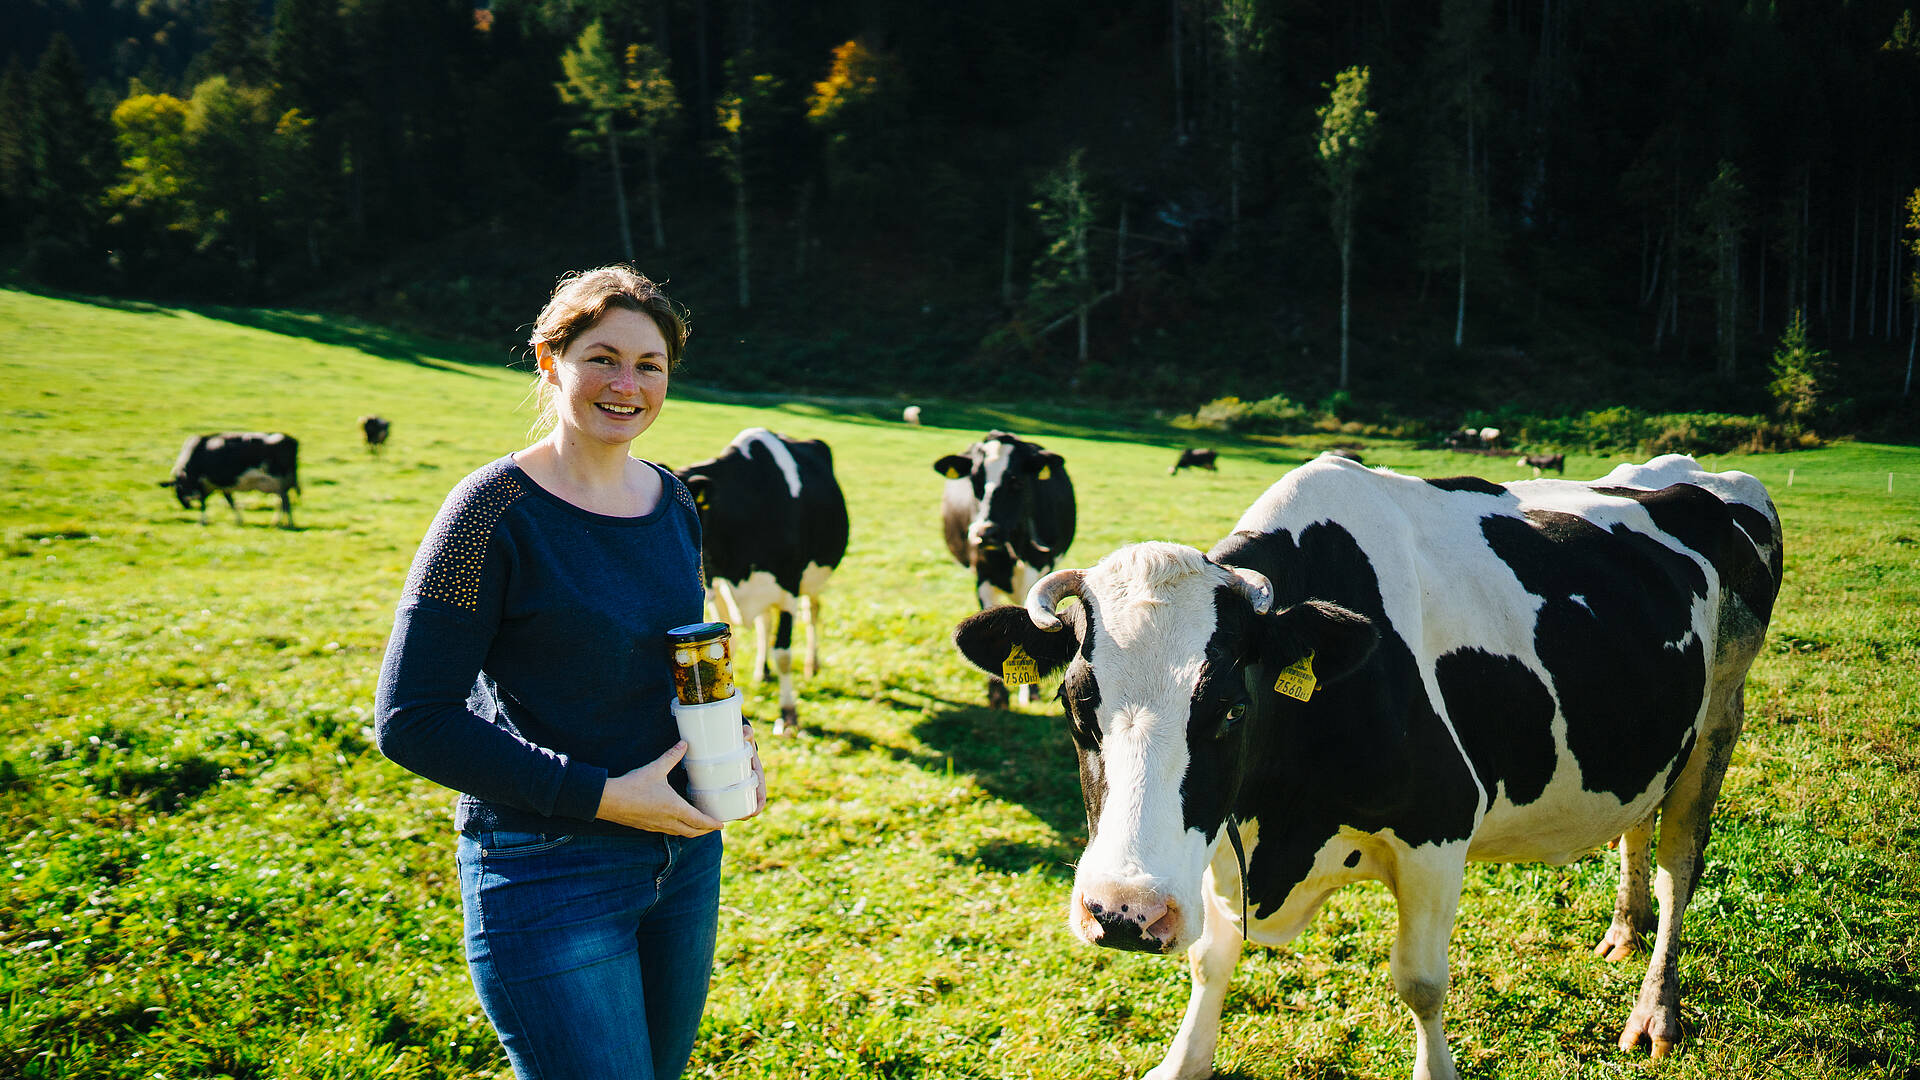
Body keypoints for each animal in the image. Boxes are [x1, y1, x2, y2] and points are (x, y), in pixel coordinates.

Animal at [161, 430, 299, 526]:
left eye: (177, 489)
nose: (186, 506)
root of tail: (291, 440)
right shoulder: (222, 485)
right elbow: (231, 502)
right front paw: (239, 520)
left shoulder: (204, 484)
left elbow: (204, 504)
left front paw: (202, 521)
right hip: (279, 484)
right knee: (282, 501)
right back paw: (279, 522)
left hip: (278, 481)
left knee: (284, 501)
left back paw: (287, 524)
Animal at [679, 426, 852, 730]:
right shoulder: (716, 592)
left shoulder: (789, 588)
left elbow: (783, 653)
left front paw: (788, 713)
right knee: (764, 623)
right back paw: (763, 670)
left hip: (812, 579)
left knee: (813, 612)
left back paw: (813, 664)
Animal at [940, 428, 1082, 707]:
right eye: (975, 482)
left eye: (1016, 482)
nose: (985, 532)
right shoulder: (982, 576)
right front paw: (997, 695)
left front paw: (1031, 691)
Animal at [952, 453, 1774, 1076]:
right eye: (1075, 705)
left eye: (1231, 710)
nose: (1125, 912)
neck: (1281, 823)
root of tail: (1694, 474)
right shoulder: (1216, 841)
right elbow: (1211, 959)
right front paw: (1183, 1060)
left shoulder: (1439, 829)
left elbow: (1421, 983)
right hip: (1658, 738)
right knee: (1637, 830)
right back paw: (1623, 933)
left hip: (1718, 723)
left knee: (1677, 866)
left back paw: (1656, 1010)